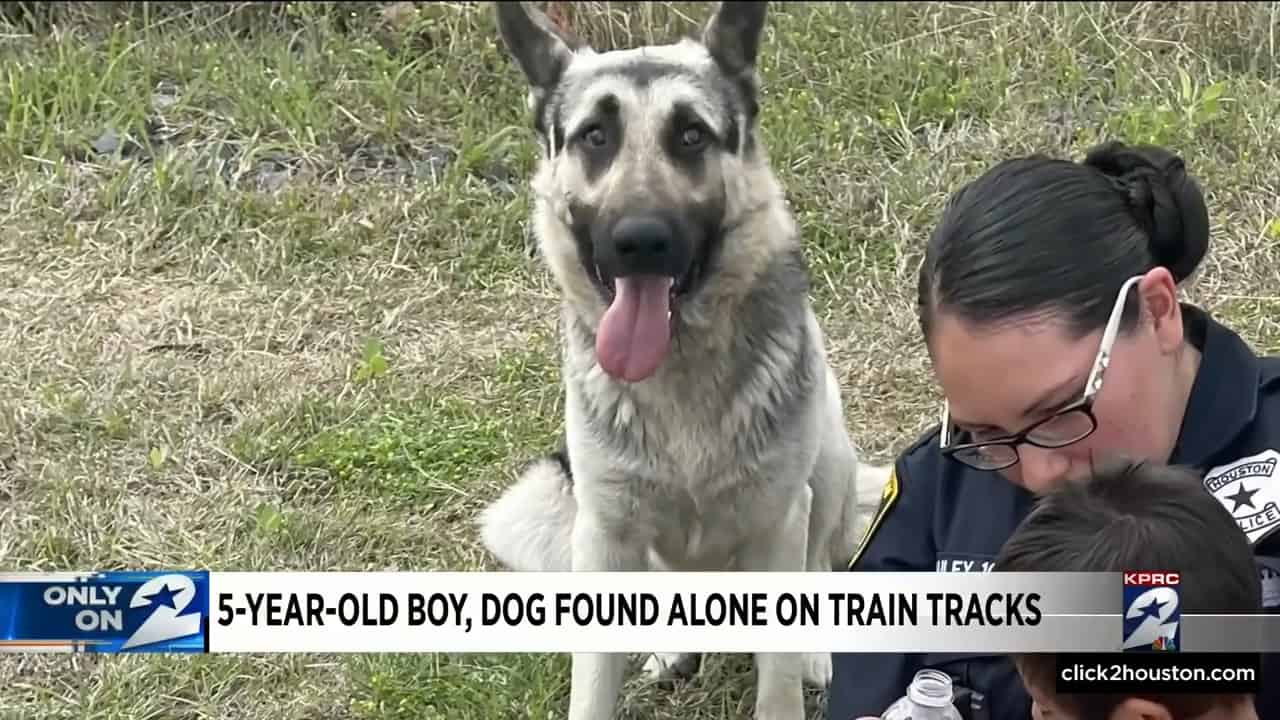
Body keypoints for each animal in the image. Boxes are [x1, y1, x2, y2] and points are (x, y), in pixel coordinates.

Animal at [476, 2, 885, 712]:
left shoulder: (779, 519)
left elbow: (778, 675)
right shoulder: (604, 536)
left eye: (691, 135)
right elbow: (593, 682)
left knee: (820, 562)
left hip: (828, 455)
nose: (639, 240)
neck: (679, 369)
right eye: (595, 136)